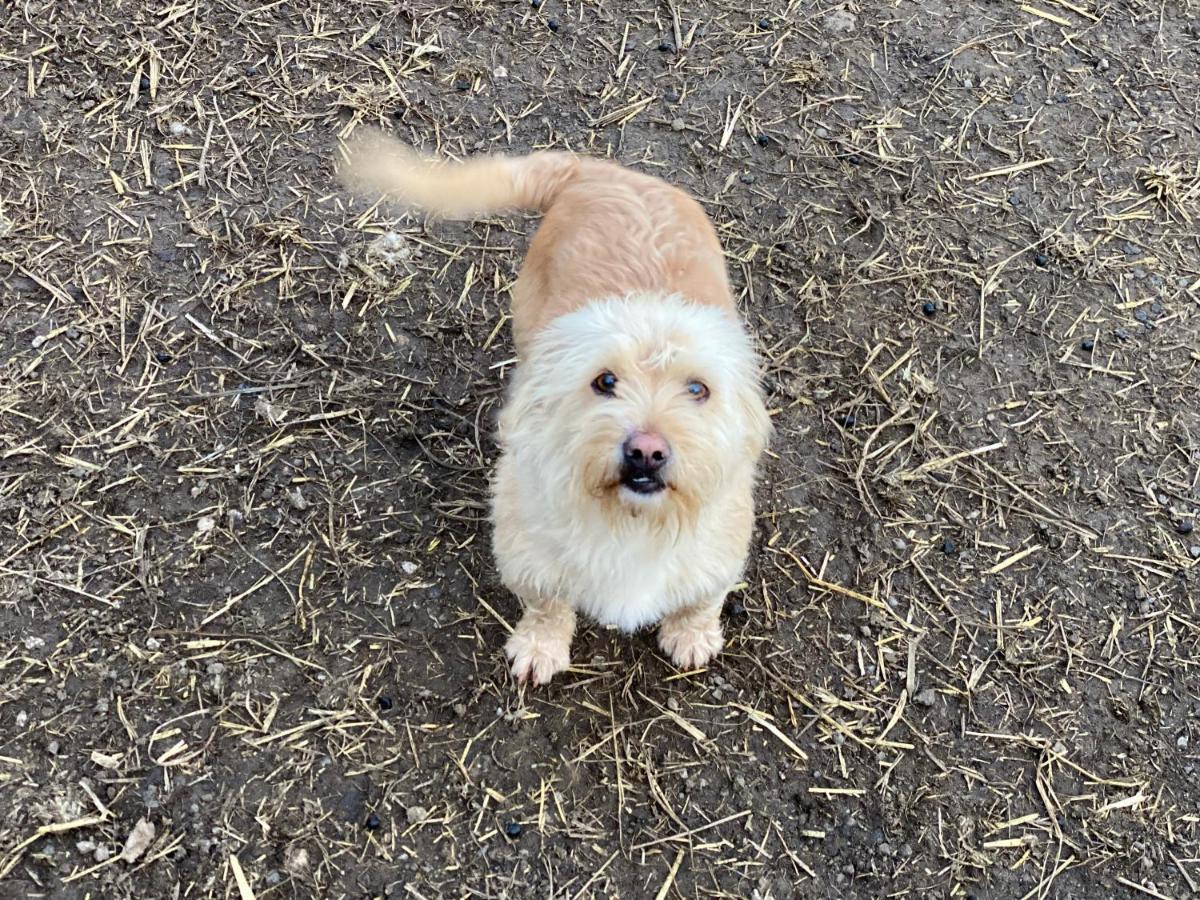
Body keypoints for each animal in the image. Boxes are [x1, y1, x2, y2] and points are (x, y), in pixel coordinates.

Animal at [338, 130, 768, 686]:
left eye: (698, 389)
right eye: (604, 381)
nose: (646, 451)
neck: (631, 522)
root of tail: (597, 171)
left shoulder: (720, 550)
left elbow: (702, 598)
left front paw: (692, 636)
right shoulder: (530, 550)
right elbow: (548, 604)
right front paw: (539, 648)